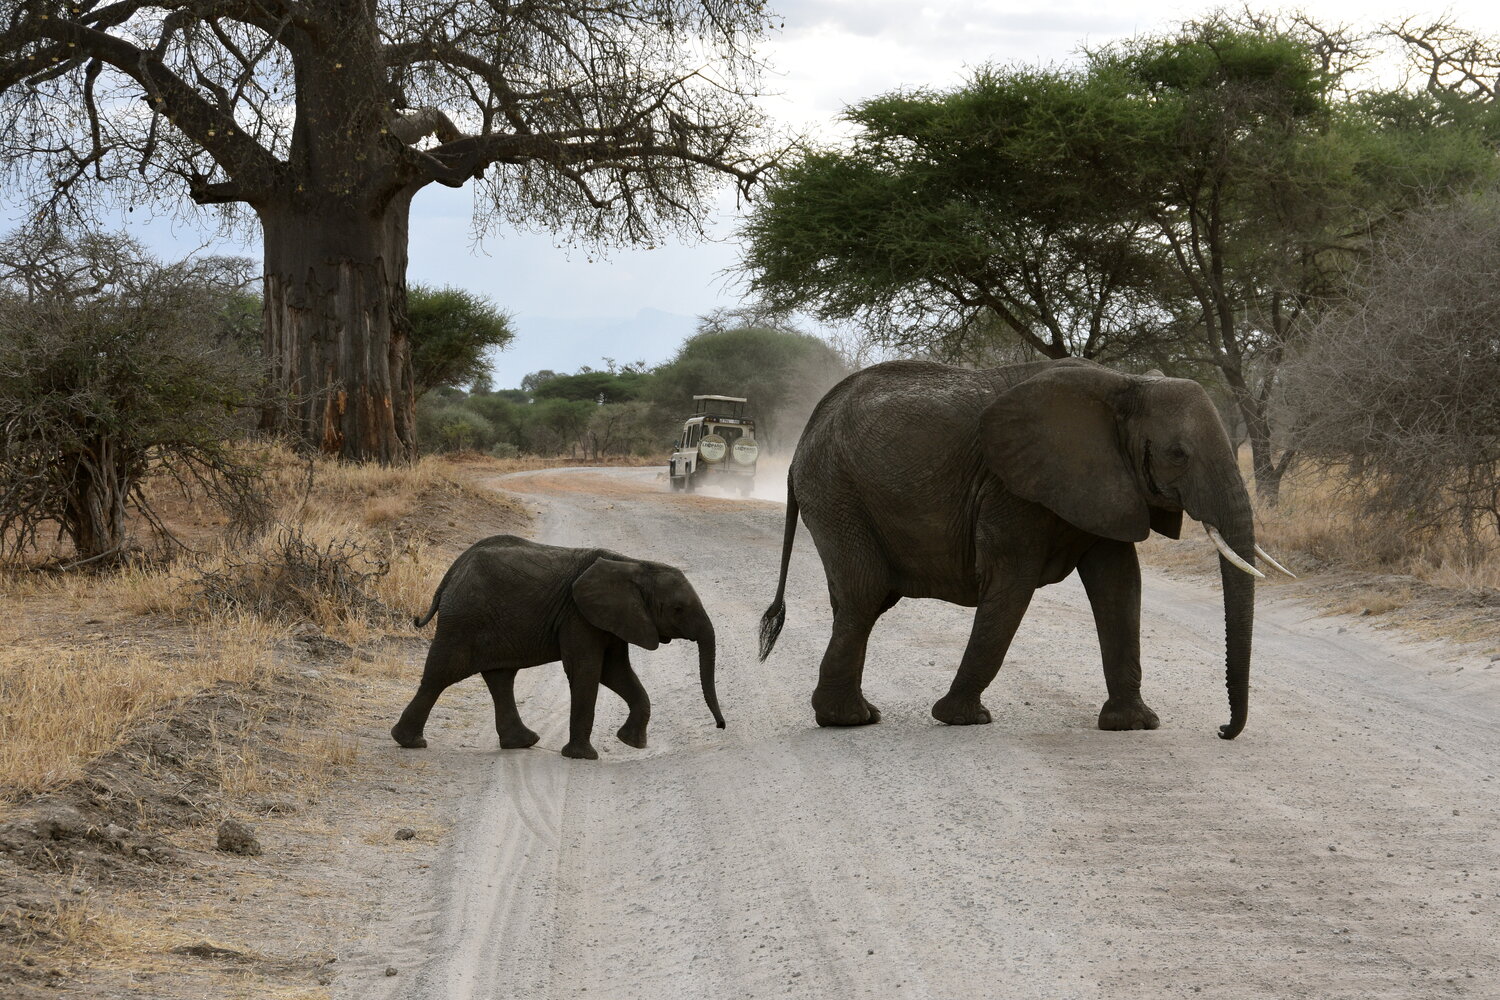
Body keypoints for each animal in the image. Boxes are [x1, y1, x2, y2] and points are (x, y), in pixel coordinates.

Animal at [756, 358, 1296, 734]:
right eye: (1177, 455)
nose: (1223, 730)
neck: (1126, 384)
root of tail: (804, 436)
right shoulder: (1011, 489)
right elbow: (1011, 585)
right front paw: (961, 718)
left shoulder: (1105, 482)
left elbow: (1120, 584)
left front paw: (1134, 725)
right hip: (836, 492)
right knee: (865, 596)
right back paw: (849, 720)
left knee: (861, 601)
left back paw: (858, 715)